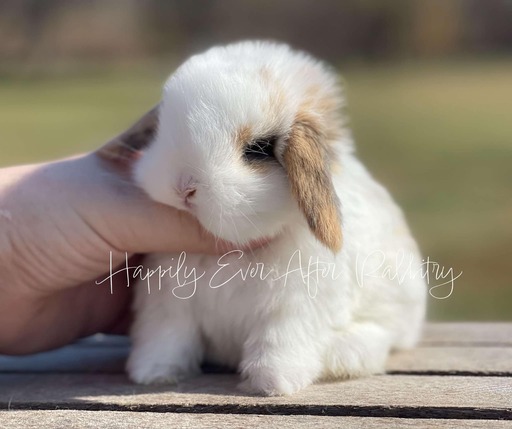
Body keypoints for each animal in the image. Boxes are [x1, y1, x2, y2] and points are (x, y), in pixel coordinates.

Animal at [117, 41, 428, 394]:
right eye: (161, 130)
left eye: (258, 148)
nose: (184, 188)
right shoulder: (169, 304)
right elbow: (167, 338)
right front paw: (153, 373)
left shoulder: (292, 308)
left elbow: (278, 342)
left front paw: (272, 383)